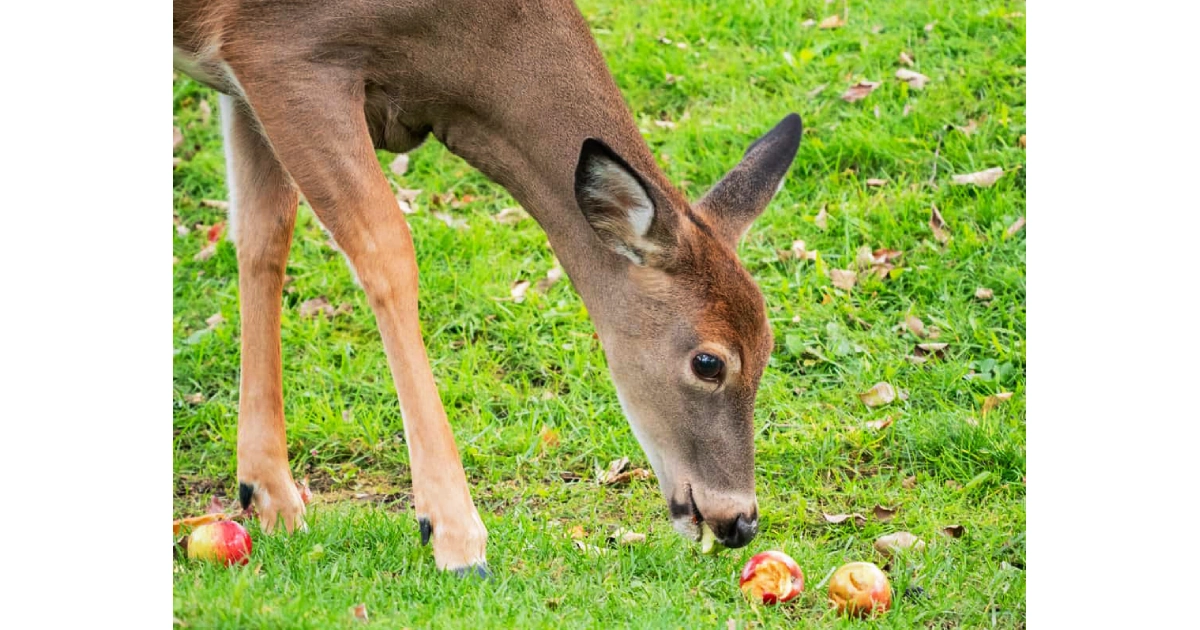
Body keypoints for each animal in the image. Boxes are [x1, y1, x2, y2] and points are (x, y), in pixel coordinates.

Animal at [174, 0, 801, 573]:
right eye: (708, 362)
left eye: (769, 348)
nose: (740, 521)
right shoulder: (283, 54)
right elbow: (388, 250)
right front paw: (454, 535)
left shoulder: (242, 77)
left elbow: (263, 233)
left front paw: (270, 497)